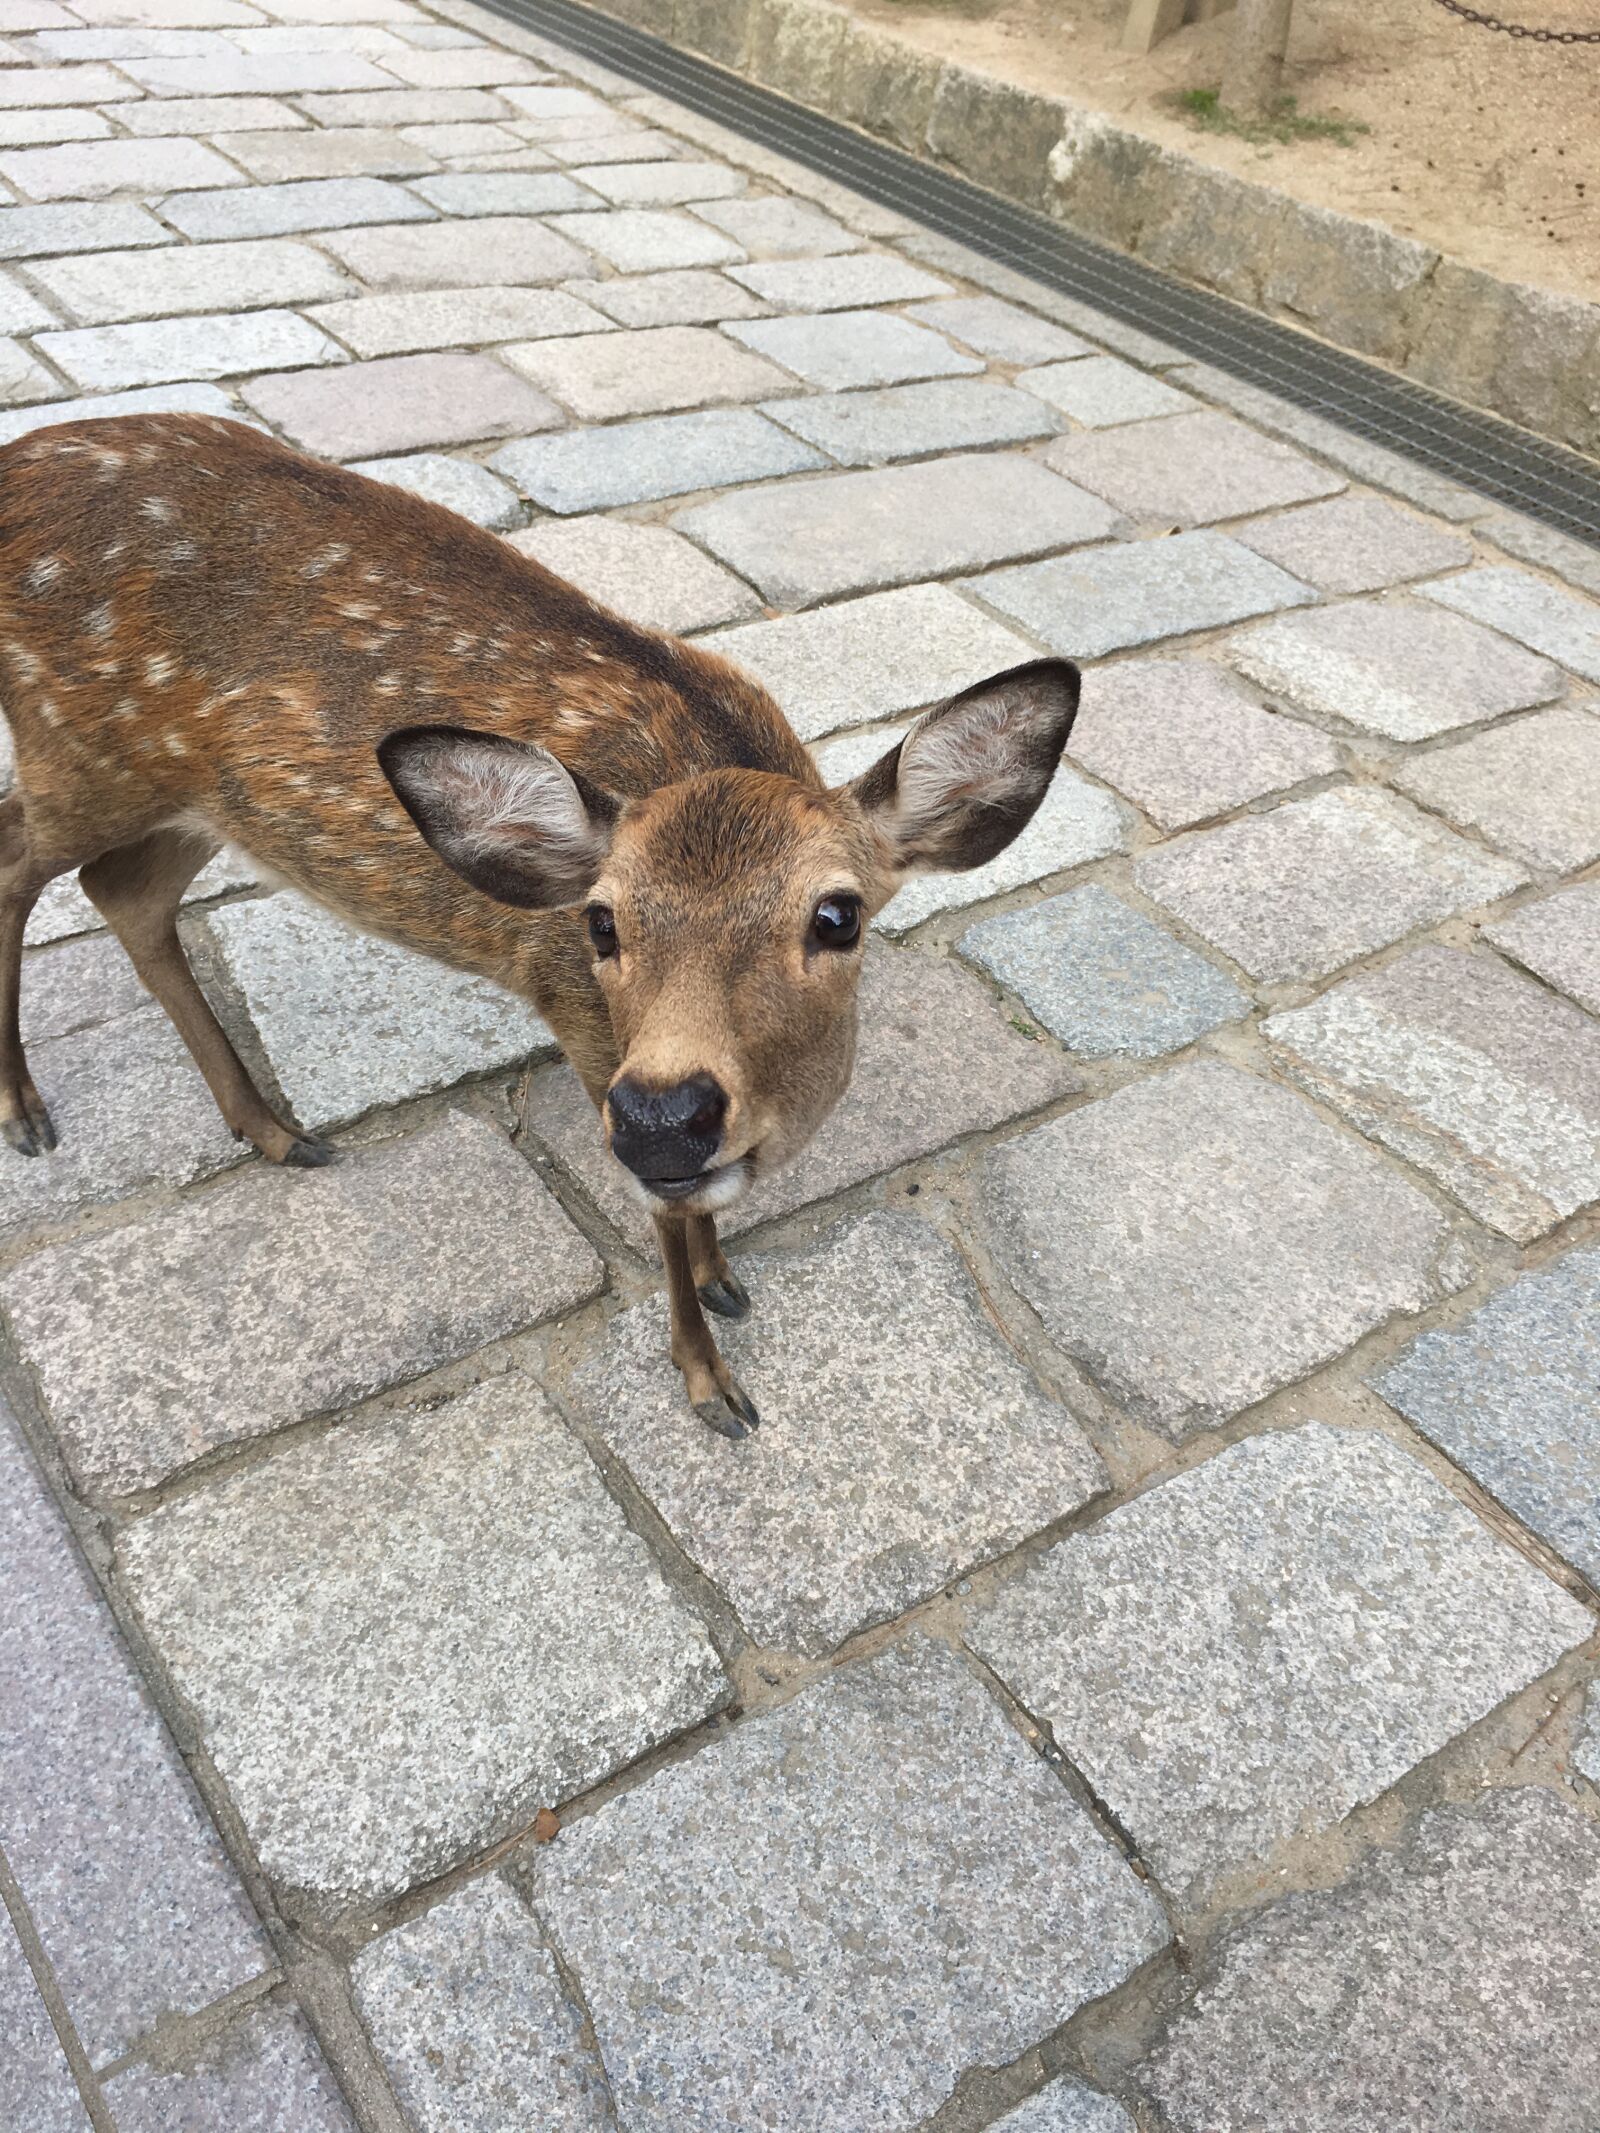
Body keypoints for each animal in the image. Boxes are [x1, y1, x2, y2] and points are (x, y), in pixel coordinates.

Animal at [0, 414, 1079, 1438]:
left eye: (838, 914)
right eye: (599, 922)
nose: (663, 1113)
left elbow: (694, 1211)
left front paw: (726, 1280)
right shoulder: (583, 1025)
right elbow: (661, 1225)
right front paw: (710, 1383)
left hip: (193, 798)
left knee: (120, 889)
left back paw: (273, 1129)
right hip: (79, 752)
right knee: (21, 856)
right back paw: (28, 1113)